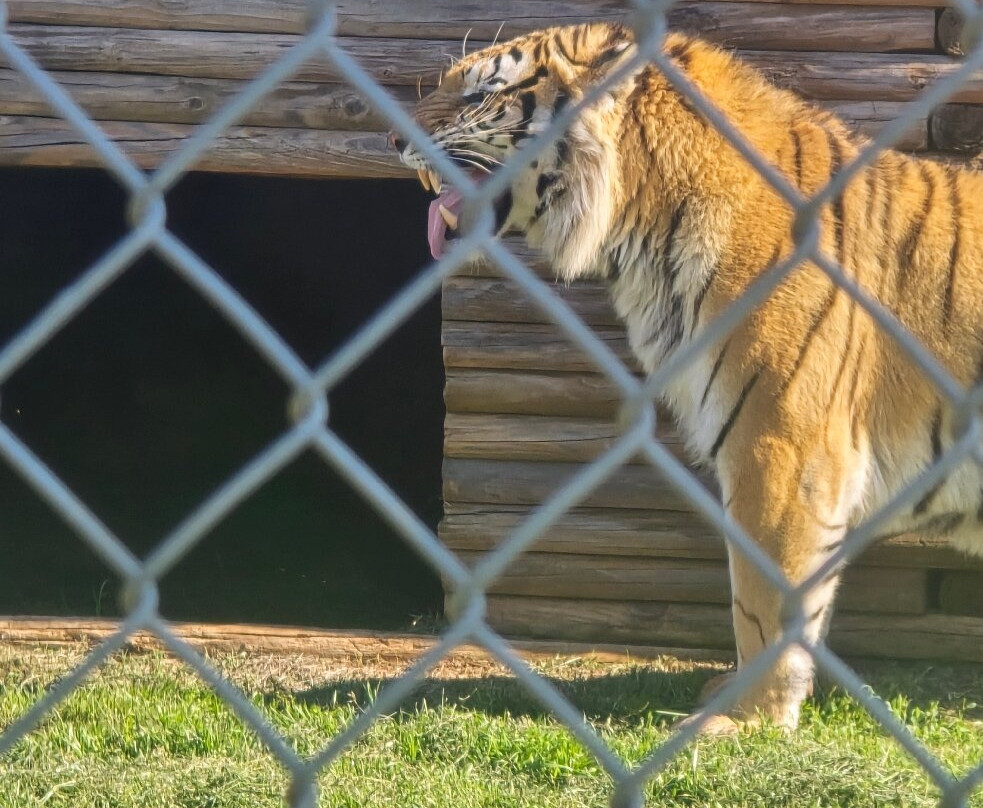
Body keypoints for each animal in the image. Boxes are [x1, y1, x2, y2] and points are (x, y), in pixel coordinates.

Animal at [392, 21, 983, 733]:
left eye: (480, 92)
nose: (392, 139)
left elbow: (763, 601)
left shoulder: (782, 447)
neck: (641, 228)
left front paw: (748, 721)